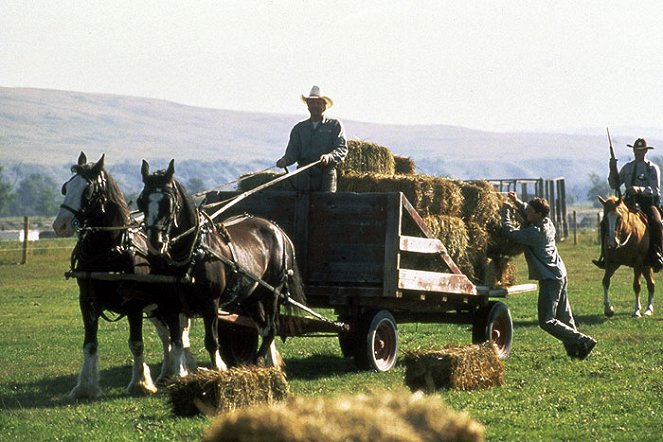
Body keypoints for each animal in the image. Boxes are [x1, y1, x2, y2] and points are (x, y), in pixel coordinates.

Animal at [52, 153, 193, 400]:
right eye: (66, 187)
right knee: (166, 336)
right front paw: (85, 387)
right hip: (156, 306)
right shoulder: (87, 302)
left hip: (169, 303)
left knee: (177, 336)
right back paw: (167, 373)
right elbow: (89, 344)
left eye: (87, 191)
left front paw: (139, 383)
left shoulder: (134, 304)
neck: (109, 250)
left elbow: (136, 343)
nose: (60, 226)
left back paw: (179, 372)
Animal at [138, 159, 308, 370]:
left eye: (169, 203)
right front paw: (178, 373)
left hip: (272, 292)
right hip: (251, 296)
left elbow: (211, 342)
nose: (156, 242)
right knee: (263, 327)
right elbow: (175, 343)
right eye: (141, 201)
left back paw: (257, 362)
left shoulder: (211, 304)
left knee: (271, 329)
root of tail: (277, 229)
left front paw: (219, 368)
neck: (193, 251)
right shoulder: (170, 306)